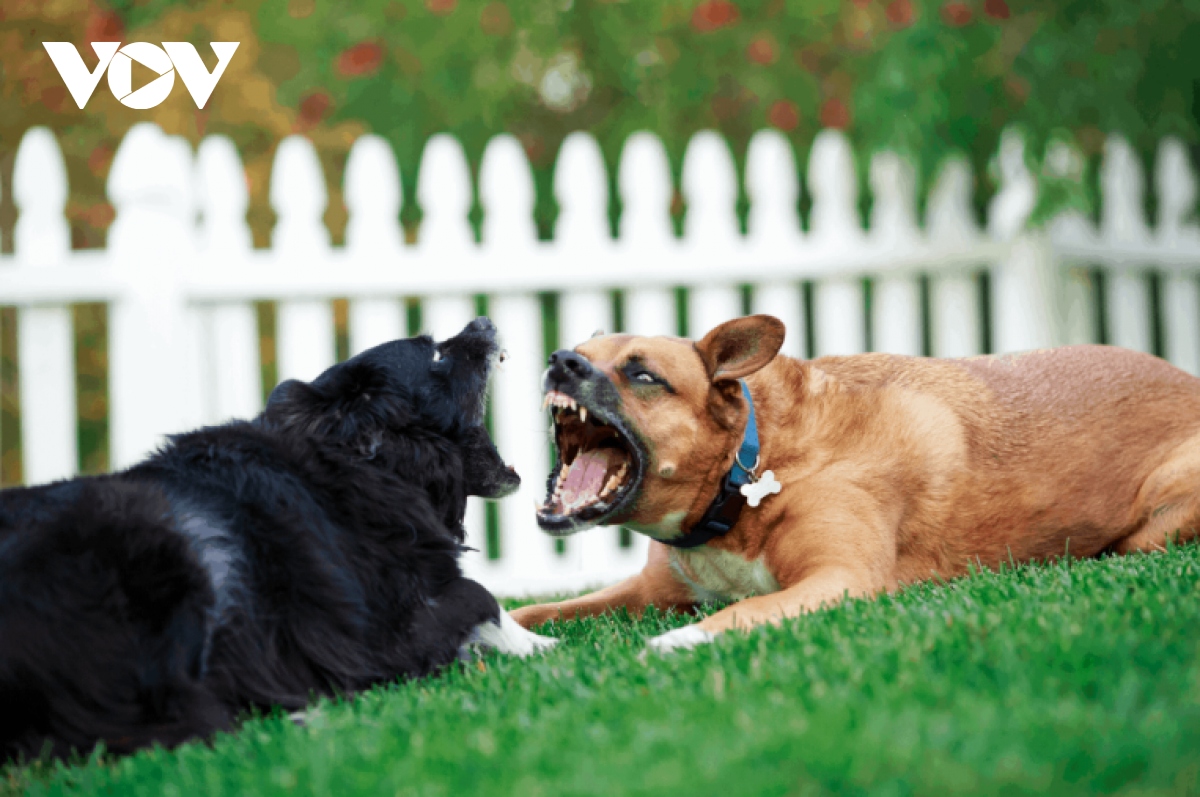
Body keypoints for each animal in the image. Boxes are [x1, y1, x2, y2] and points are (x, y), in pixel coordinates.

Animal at [0, 316, 552, 758]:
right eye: (436, 353)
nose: (484, 321)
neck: (364, 460)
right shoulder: (374, 635)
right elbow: (477, 594)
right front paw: (537, 645)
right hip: (160, 546)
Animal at [511, 314, 1200, 652]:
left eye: (644, 375)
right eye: (577, 353)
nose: (559, 361)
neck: (751, 470)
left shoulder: (839, 579)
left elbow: (743, 610)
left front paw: (674, 644)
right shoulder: (650, 589)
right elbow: (538, 610)